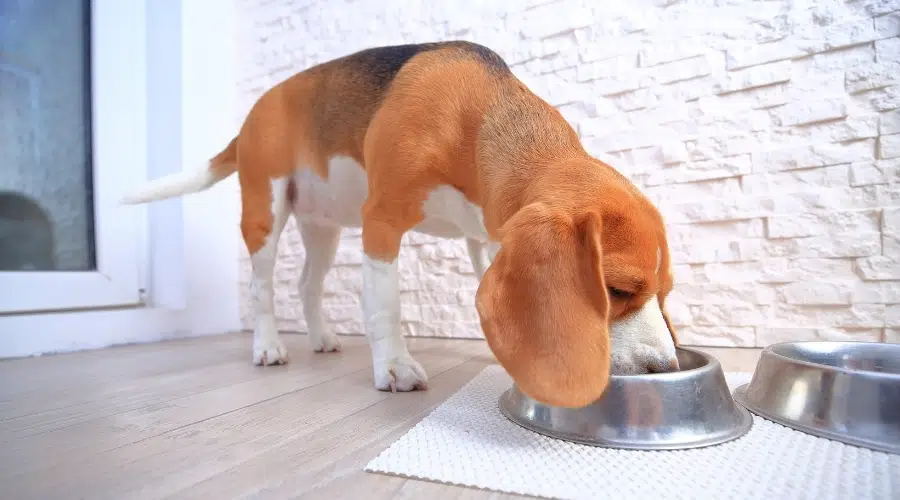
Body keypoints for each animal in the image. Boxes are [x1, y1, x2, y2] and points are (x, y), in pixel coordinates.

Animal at [123, 42, 680, 410]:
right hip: (266, 211)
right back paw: (268, 347)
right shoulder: (382, 222)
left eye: (665, 292)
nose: (667, 369)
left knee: (306, 285)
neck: (477, 119)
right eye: (616, 289)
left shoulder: (487, 238)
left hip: (323, 228)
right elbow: (385, 306)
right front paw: (394, 367)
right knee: (262, 288)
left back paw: (321, 338)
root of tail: (252, 114)